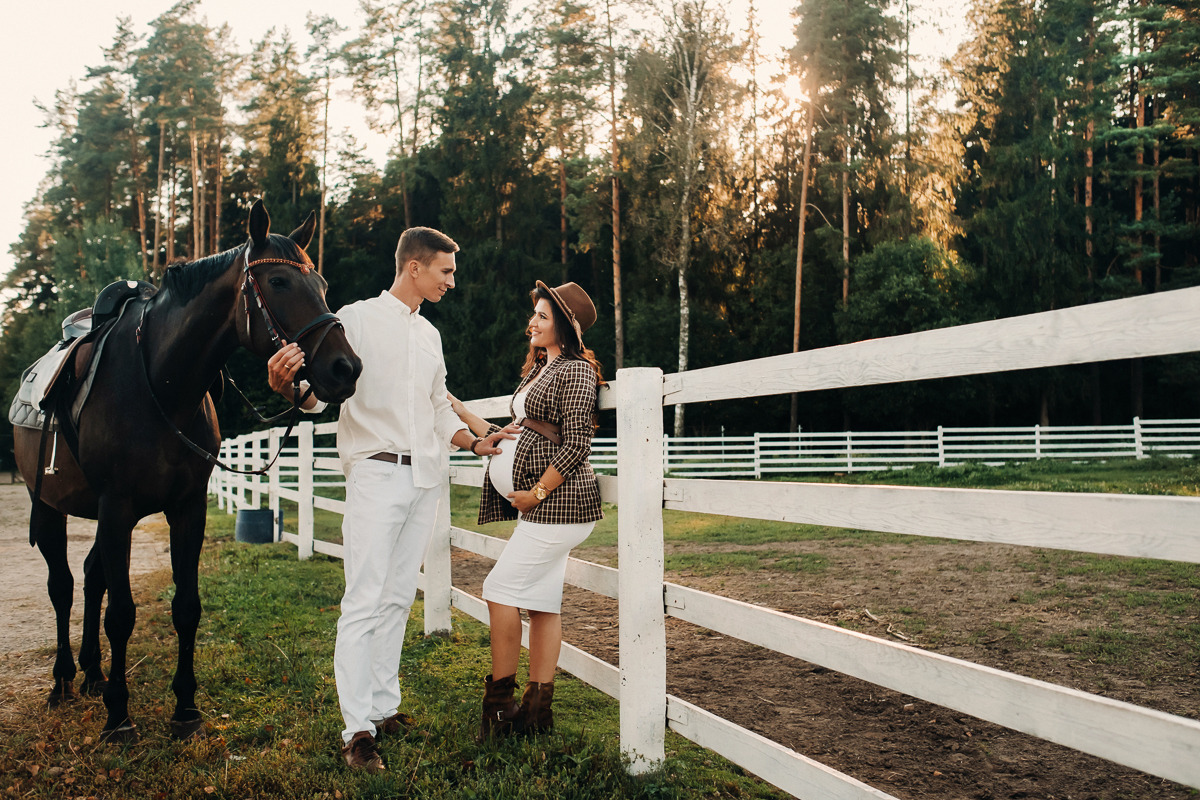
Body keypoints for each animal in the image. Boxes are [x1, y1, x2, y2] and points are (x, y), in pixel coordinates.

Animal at [11, 196, 360, 743]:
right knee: (63, 587)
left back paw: (92, 673)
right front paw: (119, 717)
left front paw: (185, 709)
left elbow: (186, 607)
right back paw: (64, 680)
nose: (346, 368)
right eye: (279, 282)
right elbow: (121, 614)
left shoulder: (185, 509)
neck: (160, 382)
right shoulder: (117, 509)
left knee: (89, 578)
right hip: (46, 506)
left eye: (321, 284)